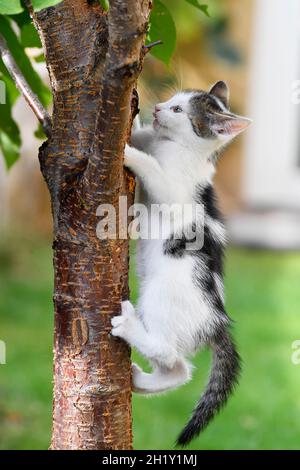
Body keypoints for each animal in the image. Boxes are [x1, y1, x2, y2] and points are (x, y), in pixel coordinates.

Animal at [110, 81, 251, 448]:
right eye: (173, 100)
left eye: (178, 111)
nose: (159, 108)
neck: (173, 146)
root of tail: (217, 320)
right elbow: (142, 136)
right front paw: (134, 116)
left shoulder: (175, 191)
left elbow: (155, 173)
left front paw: (130, 154)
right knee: (178, 370)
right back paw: (143, 382)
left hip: (162, 297)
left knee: (173, 358)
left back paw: (130, 328)